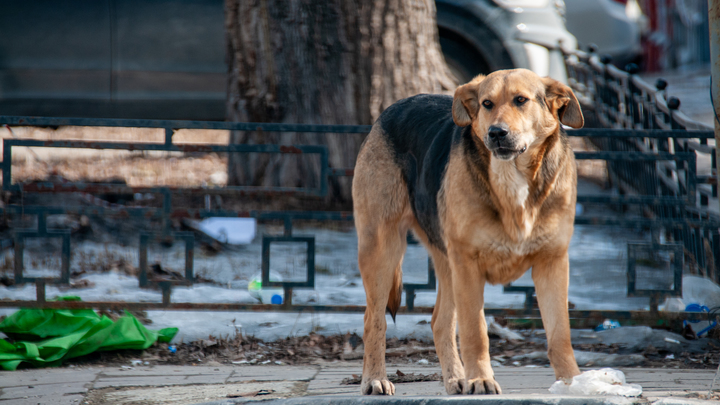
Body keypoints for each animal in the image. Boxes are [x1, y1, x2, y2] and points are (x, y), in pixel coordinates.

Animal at [352, 68, 584, 392]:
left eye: (521, 100)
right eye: (487, 104)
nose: (496, 133)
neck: (511, 178)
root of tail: (390, 110)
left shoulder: (552, 262)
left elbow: (560, 334)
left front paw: (574, 382)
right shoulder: (468, 265)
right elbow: (476, 332)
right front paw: (481, 379)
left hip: (445, 261)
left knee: (439, 321)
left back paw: (456, 379)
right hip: (382, 249)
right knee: (373, 320)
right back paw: (375, 379)